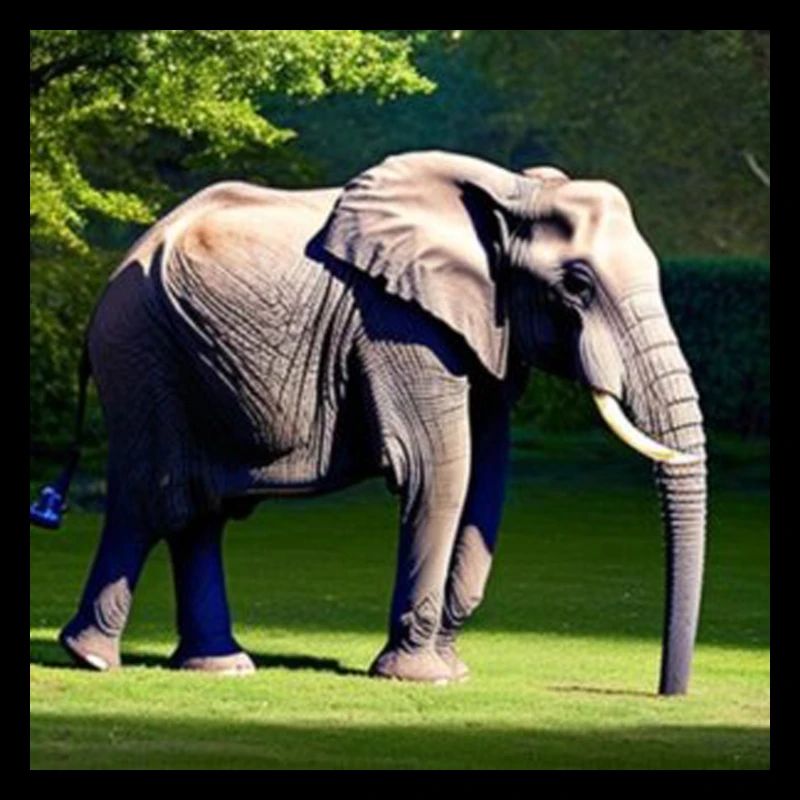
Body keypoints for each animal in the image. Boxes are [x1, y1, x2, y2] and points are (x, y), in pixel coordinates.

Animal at [31, 150, 707, 693]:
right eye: (577, 285)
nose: (667, 692)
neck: (512, 192)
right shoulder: (397, 322)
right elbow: (440, 471)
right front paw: (423, 678)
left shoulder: (484, 331)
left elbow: (487, 478)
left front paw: (451, 669)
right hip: (141, 355)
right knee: (154, 498)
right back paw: (92, 659)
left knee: (199, 513)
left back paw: (219, 667)